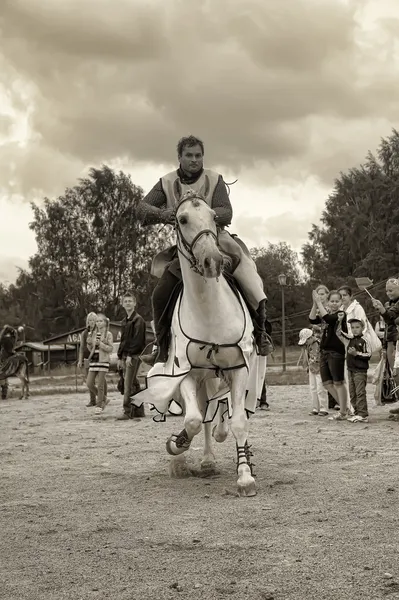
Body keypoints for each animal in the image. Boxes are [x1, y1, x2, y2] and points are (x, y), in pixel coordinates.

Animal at [134, 193, 266, 496]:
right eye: (182, 219)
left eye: (214, 217)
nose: (213, 260)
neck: (209, 311)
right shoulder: (185, 372)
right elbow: (192, 420)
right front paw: (177, 444)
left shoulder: (239, 368)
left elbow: (238, 421)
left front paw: (245, 476)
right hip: (202, 378)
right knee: (204, 416)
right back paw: (203, 460)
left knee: (222, 413)